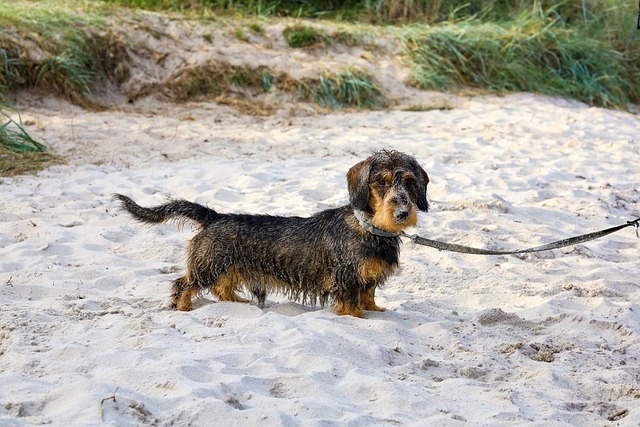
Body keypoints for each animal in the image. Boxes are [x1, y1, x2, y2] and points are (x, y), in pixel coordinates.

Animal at [114, 150, 430, 318]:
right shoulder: (347, 280)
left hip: (227, 266)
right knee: (183, 283)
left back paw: (236, 302)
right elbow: (352, 305)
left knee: (221, 288)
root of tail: (214, 216)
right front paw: (357, 317)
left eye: (410, 182)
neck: (369, 228)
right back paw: (183, 307)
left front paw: (374, 310)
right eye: (381, 182)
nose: (403, 214)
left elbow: (368, 296)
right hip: (209, 264)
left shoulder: (366, 279)